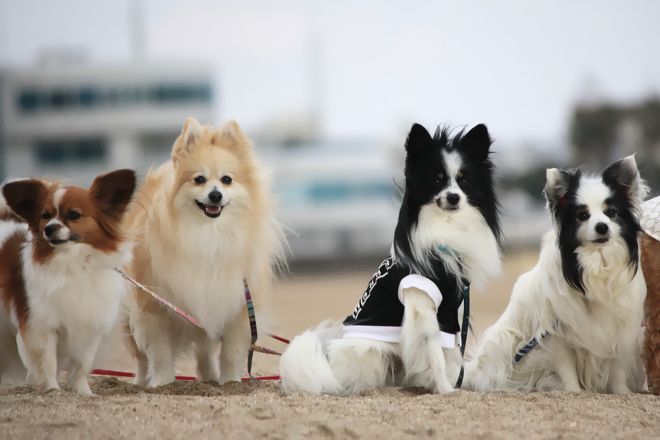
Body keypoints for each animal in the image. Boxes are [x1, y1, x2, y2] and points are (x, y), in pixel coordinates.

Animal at [0, 170, 136, 394]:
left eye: (73, 215)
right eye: (45, 216)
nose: (49, 229)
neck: (73, 262)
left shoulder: (90, 325)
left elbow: (83, 364)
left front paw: (84, 392)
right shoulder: (41, 325)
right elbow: (48, 362)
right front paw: (52, 390)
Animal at [125, 117, 282, 387]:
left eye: (227, 180)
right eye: (199, 179)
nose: (215, 194)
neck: (208, 235)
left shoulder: (236, 304)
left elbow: (231, 352)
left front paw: (230, 382)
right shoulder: (153, 307)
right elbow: (159, 352)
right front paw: (163, 383)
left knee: (204, 351)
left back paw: (209, 378)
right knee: (141, 357)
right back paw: (139, 381)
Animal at [280, 123, 502, 395]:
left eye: (464, 180)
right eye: (437, 179)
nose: (453, 197)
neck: (445, 227)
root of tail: (329, 360)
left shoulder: (450, 311)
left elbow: (448, 354)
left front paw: (451, 384)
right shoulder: (424, 304)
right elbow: (435, 354)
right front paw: (446, 390)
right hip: (372, 353)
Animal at [465, 155, 648, 394]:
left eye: (611, 213)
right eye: (582, 216)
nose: (602, 227)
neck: (596, 263)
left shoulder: (619, 330)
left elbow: (617, 369)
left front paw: (622, 392)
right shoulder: (556, 334)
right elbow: (566, 367)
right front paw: (573, 392)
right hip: (503, 343)